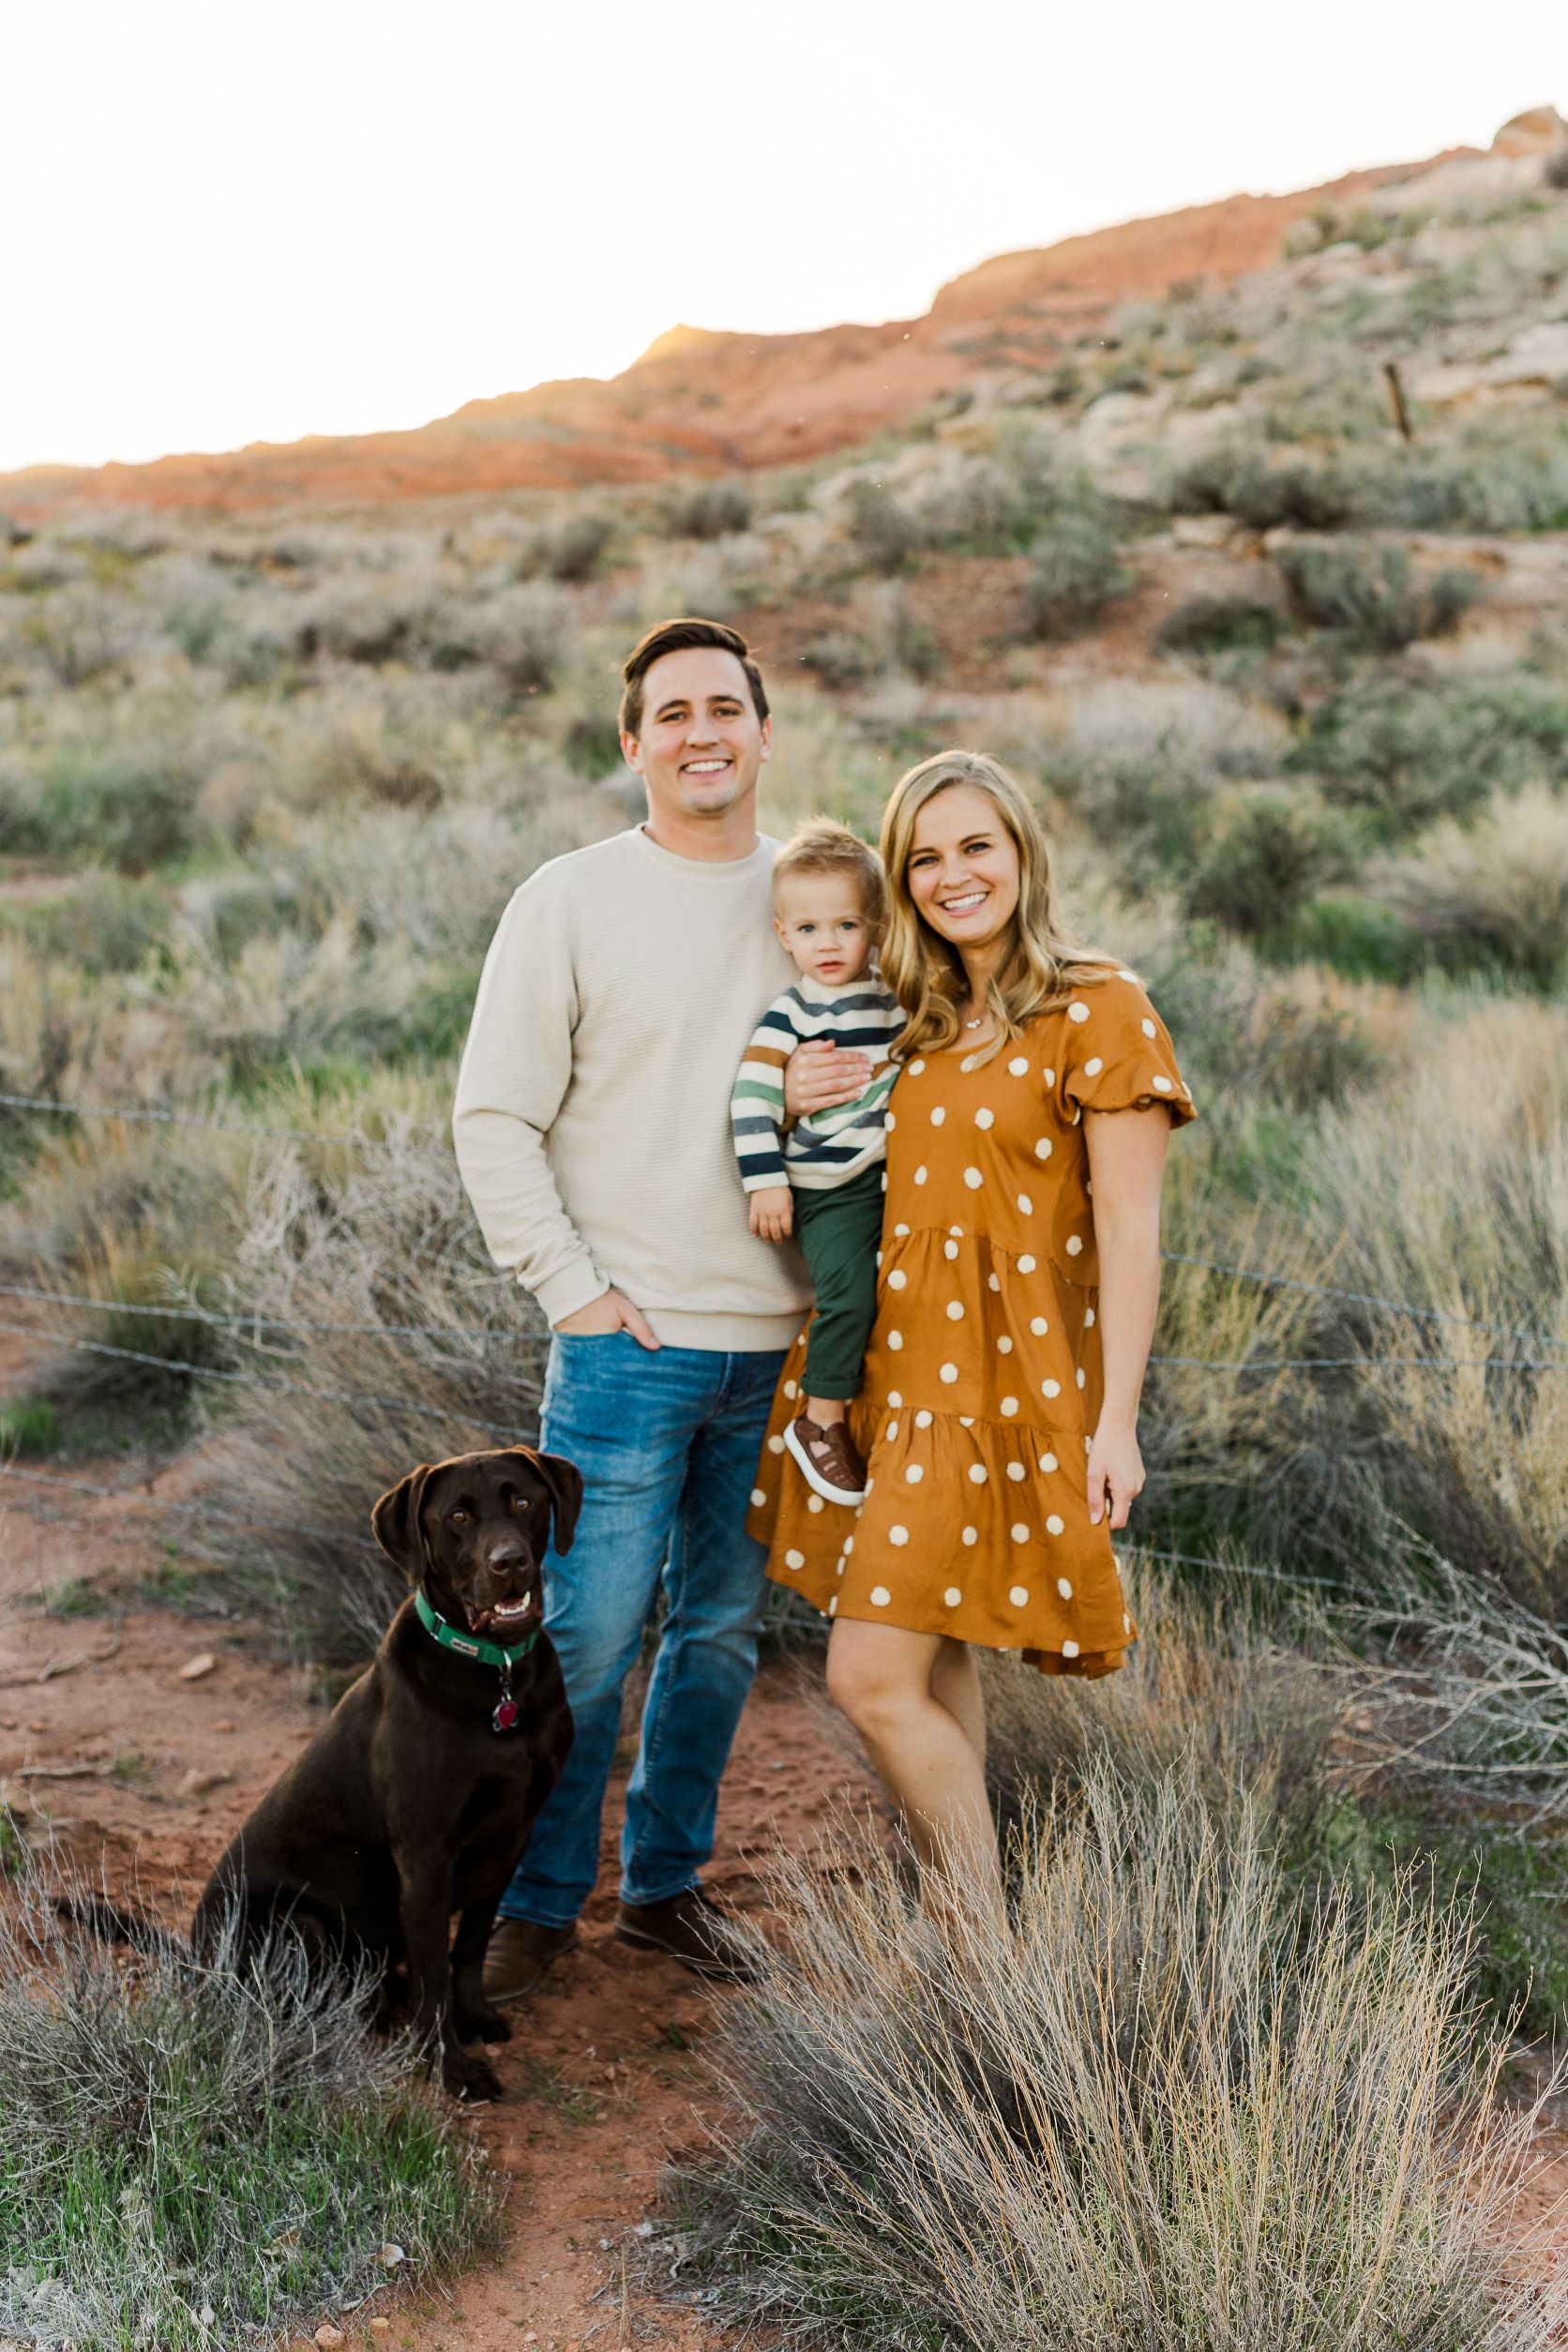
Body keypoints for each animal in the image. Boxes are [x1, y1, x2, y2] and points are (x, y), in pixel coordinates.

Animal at [79, 1445, 580, 2101]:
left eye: (522, 1500)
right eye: (458, 1517)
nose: (510, 1562)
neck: (497, 1678)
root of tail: (198, 1957)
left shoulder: (512, 1836)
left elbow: (469, 1946)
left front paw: (474, 2017)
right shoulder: (424, 1854)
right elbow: (435, 1974)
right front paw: (452, 2066)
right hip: (299, 1926)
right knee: (285, 2009)